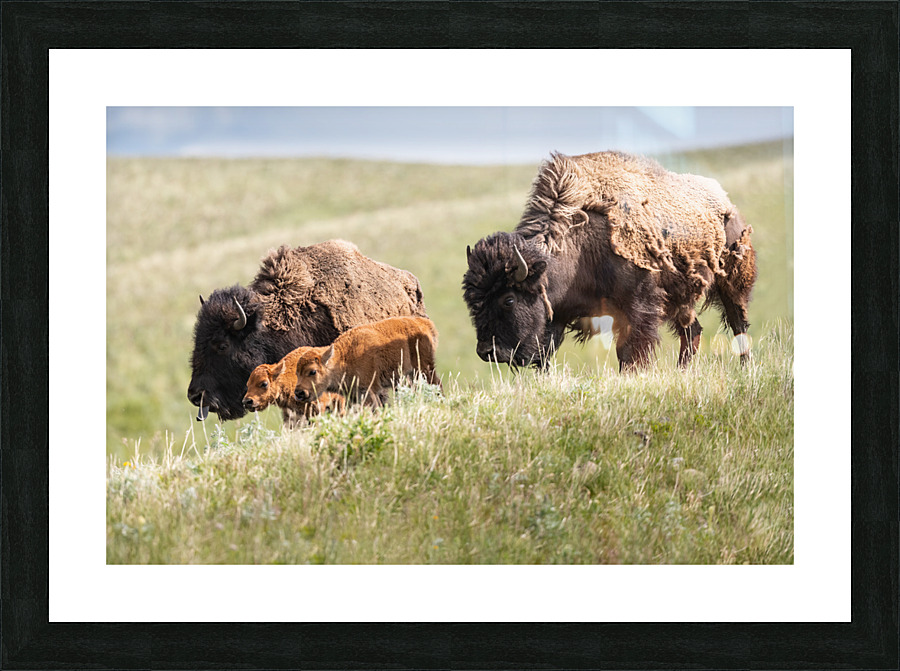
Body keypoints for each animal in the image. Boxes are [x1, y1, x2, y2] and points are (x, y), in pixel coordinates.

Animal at [292, 316, 441, 408]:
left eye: (313, 371)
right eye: (297, 373)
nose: (299, 393)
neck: (344, 357)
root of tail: (424, 323)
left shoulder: (368, 390)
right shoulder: (353, 394)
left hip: (424, 369)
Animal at [462, 151, 757, 371]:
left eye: (509, 299)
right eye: (473, 301)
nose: (487, 351)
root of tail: (727, 204)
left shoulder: (637, 308)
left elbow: (629, 351)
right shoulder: (558, 316)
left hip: (731, 285)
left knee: (737, 325)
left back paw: (745, 368)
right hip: (681, 301)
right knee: (692, 331)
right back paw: (682, 371)